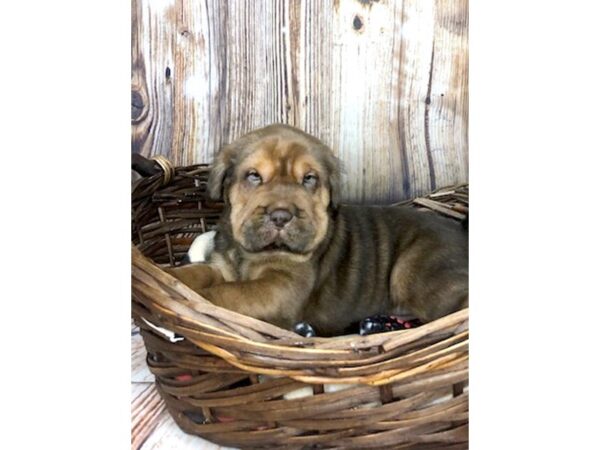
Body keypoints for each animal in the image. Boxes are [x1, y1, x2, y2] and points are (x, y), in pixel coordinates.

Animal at [165, 125, 468, 336]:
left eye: (309, 179)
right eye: (254, 176)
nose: (281, 216)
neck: (250, 254)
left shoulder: (279, 288)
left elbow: (227, 293)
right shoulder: (222, 266)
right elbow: (199, 273)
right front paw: (171, 278)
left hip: (415, 273)